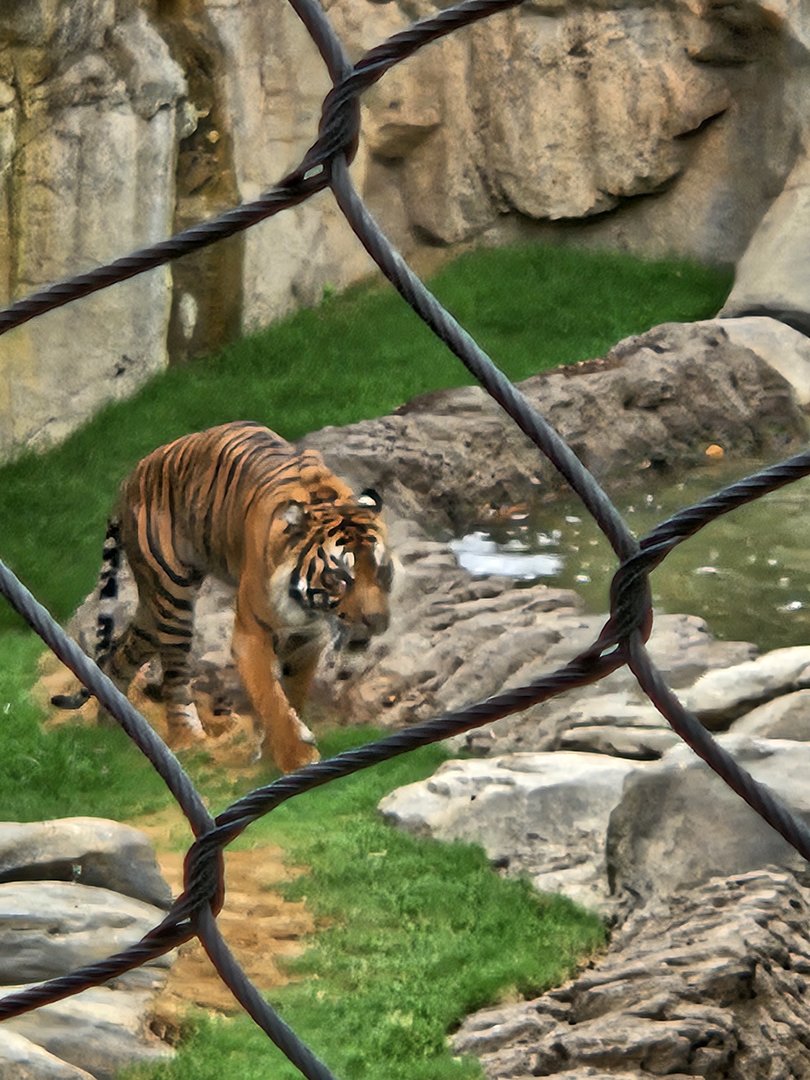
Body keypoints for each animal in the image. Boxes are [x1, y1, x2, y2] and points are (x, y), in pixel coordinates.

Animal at [52, 421, 394, 772]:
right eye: (340, 577)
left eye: (381, 570)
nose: (377, 622)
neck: (309, 603)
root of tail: (130, 478)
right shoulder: (251, 634)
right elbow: (270, 697)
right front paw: (295, 757)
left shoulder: (307, 637)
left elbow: (292, 693)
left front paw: (276, 745)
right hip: (172, 599)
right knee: (175, 676)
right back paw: (188, 739)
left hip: (153, 608)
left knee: (124, 649)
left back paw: (112, 720)